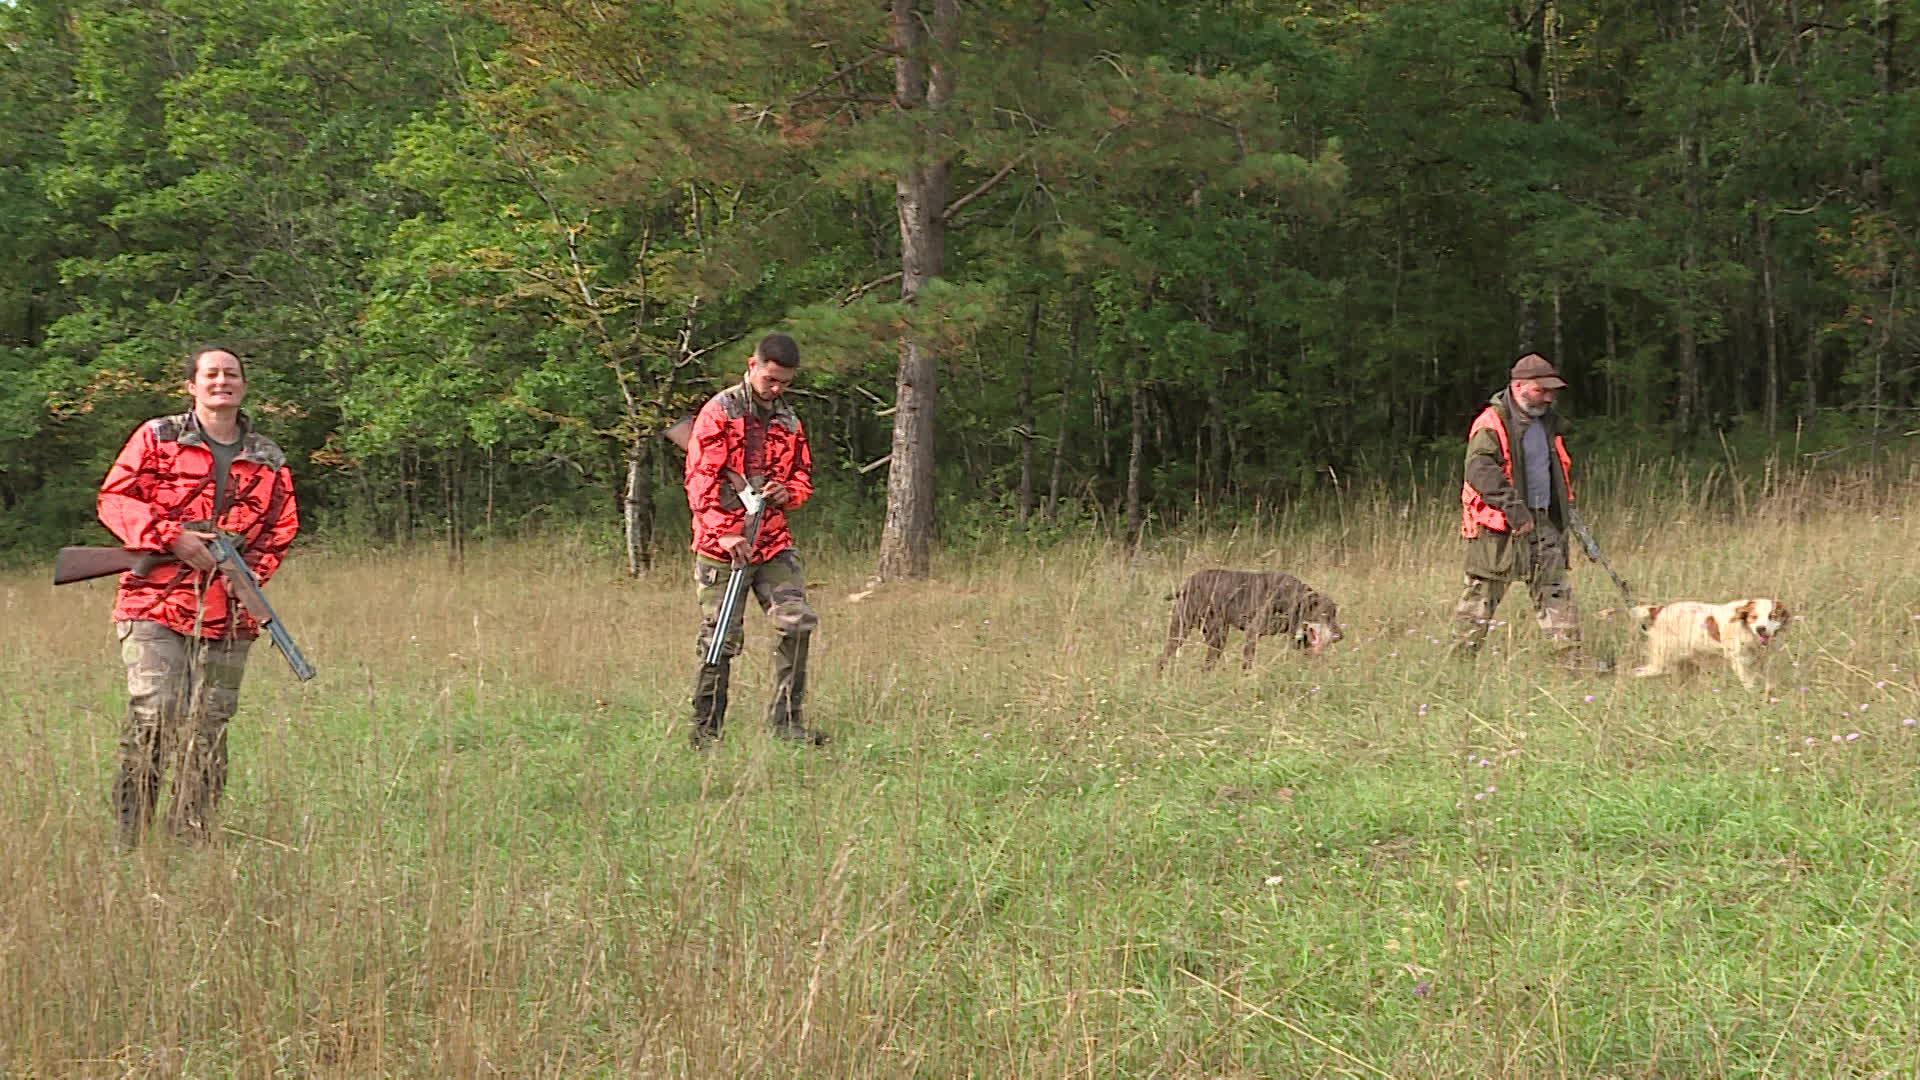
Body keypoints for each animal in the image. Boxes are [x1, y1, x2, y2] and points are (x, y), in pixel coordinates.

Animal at [1159, 568, 1344, 668]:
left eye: (1335, 613)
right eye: (1325, 614)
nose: (1340, 636)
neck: (1292, 598)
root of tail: (1186, 585)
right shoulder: (1252, 633)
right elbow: (1247, 663)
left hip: (1216, 636)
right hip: (1182, 629)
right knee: (1164, 657)